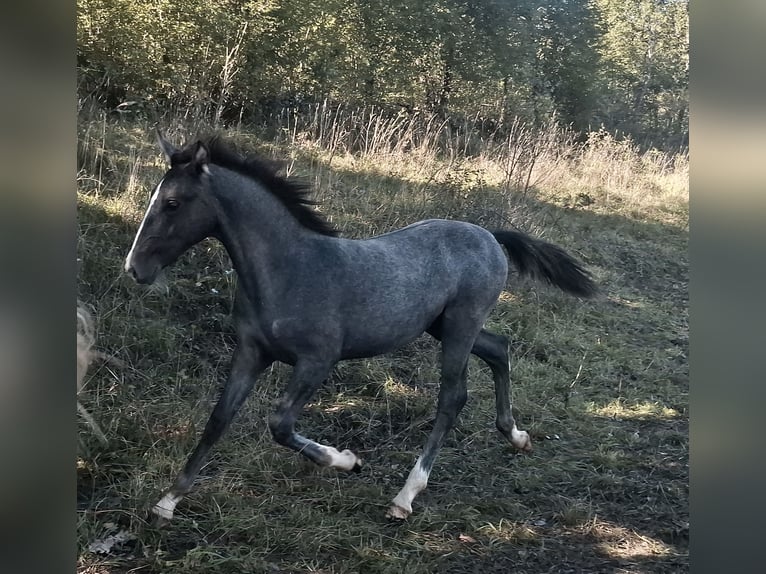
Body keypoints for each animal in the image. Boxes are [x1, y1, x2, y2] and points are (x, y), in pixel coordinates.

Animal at [124, 130, 598, 523]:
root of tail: (491, 237)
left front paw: (347, 460)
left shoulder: (318, 360)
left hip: (461, 326)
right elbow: (219, 418)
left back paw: (405, 496)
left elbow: (280, 424)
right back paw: (516, 436)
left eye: (172, 203)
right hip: (442, 326)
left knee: (453, 397)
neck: (289, 269)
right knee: (500, 349)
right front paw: (167, 502)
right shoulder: (251, 353)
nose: (134, 269)